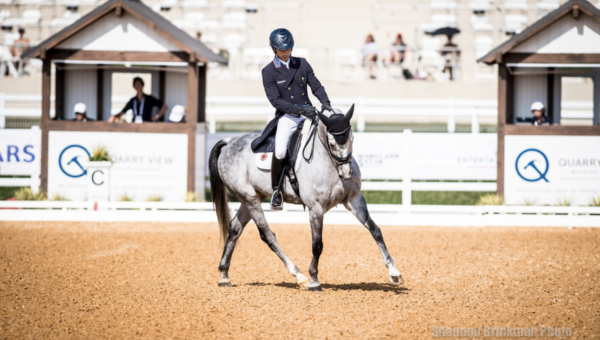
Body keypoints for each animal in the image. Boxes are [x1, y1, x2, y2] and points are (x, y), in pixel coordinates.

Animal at [209, 106, 406, 292]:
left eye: (352, 139)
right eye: (331, 143)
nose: (346, 174)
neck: (329, 161)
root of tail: (230, 142)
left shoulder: (354, 199)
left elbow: (375, 230)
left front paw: (394, 272)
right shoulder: (315, 208)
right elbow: (317, 244)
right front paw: (314, 280)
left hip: (253, 197)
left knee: (235, 228)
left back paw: (224, 275)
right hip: (250, 198)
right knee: (268, 235)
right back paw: (299, 276)